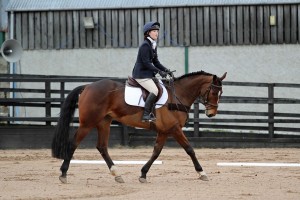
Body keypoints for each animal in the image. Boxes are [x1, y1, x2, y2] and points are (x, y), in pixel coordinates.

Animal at [51, 70, 226, 183]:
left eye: (221, 93)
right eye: (213, 92)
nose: (211, 113)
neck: (178, 95)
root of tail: (87, 86)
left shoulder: (164, 131)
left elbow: (156, 152)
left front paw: (143, 174)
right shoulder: (175, 129)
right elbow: (190, 149)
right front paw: (202, 172)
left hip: (104, 122)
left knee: (102, 147)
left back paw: (117, 174)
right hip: (88, 123)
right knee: (73, 144)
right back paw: (63, 174)